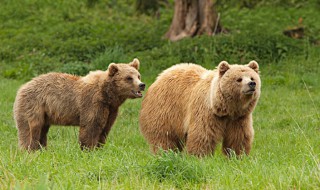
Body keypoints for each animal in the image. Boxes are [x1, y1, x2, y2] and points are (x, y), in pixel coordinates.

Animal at [13, 58, 146, 151]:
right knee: (31, 128)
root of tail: (22, 87)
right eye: (128, 78)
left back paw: (42, 149)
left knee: (42, 129)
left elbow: (105, 128)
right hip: (33, 104)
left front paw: (99, 148)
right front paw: (88, 149)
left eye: (138, 75)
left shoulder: (111, 109)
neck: (108, 95)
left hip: (45, 113)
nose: (142, 85)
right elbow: (91, 126)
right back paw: (29, 149)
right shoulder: (93, 103)